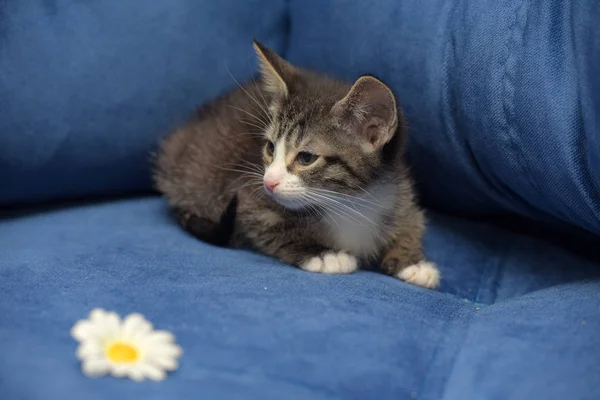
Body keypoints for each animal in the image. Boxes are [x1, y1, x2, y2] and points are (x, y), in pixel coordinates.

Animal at [152, 40, 438, 290]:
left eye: (306, 158)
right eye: (270, 148)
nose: (268, 182)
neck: (350, 201)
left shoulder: (399, 189)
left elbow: (413, 219)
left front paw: (412, 262)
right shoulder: (247, 197)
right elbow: (275, 228)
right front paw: (323, 254)